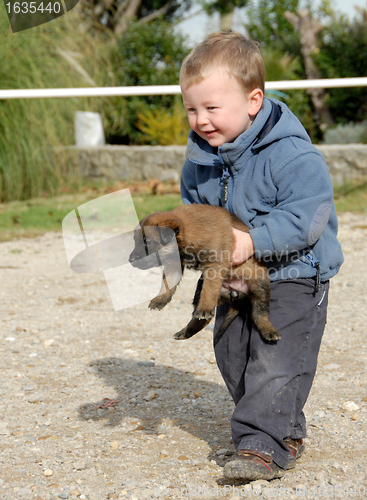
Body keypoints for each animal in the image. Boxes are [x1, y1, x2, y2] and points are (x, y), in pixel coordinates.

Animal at [130, 203, 282, 344]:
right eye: (136, 241)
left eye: (148, 242)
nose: (130, 260)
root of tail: (237, 294)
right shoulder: (174, 263)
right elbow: (168, 281)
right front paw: (160, 299)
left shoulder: (215, 266)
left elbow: (209, 290)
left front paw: (204, 308)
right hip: (200, 287)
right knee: (202, 318)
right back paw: (186, 332)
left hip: (259, 286)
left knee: (259, 313)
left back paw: (268, 330)